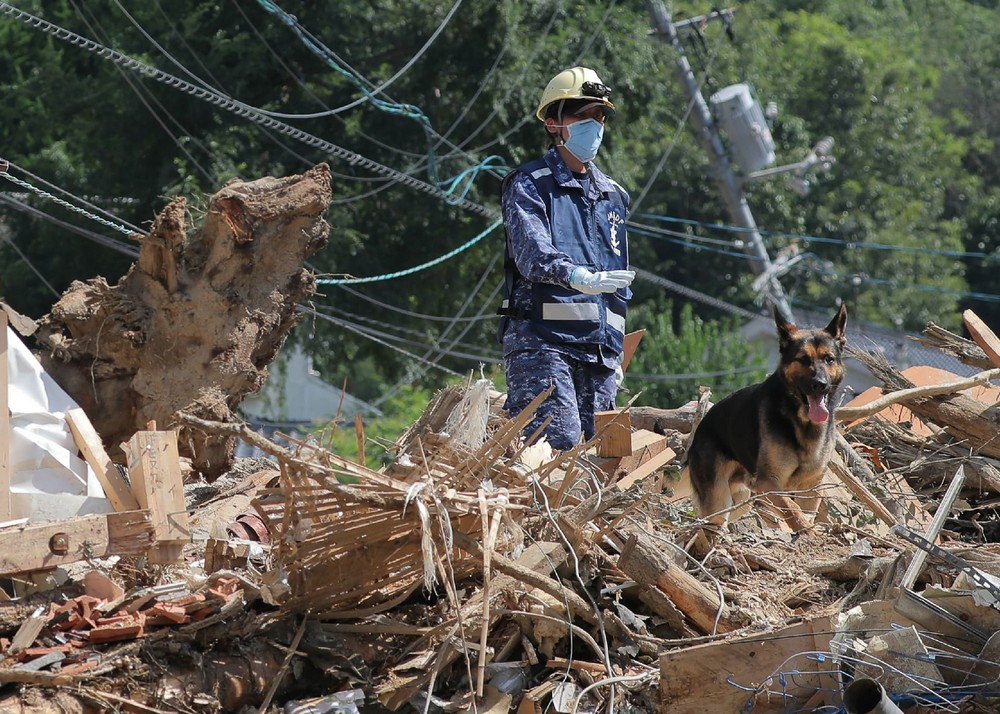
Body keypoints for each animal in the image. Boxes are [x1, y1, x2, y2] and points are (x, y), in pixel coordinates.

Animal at [692, 302, 848, 528]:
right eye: (803, 359)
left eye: (829, 359)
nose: (820, 384)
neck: (801, 421)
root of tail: (701, 425)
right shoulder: (768, 482)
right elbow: (792, 508)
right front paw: (806, 530)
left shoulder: (810, 487)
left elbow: (803, 511)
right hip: (719, 501)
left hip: (740, 501)